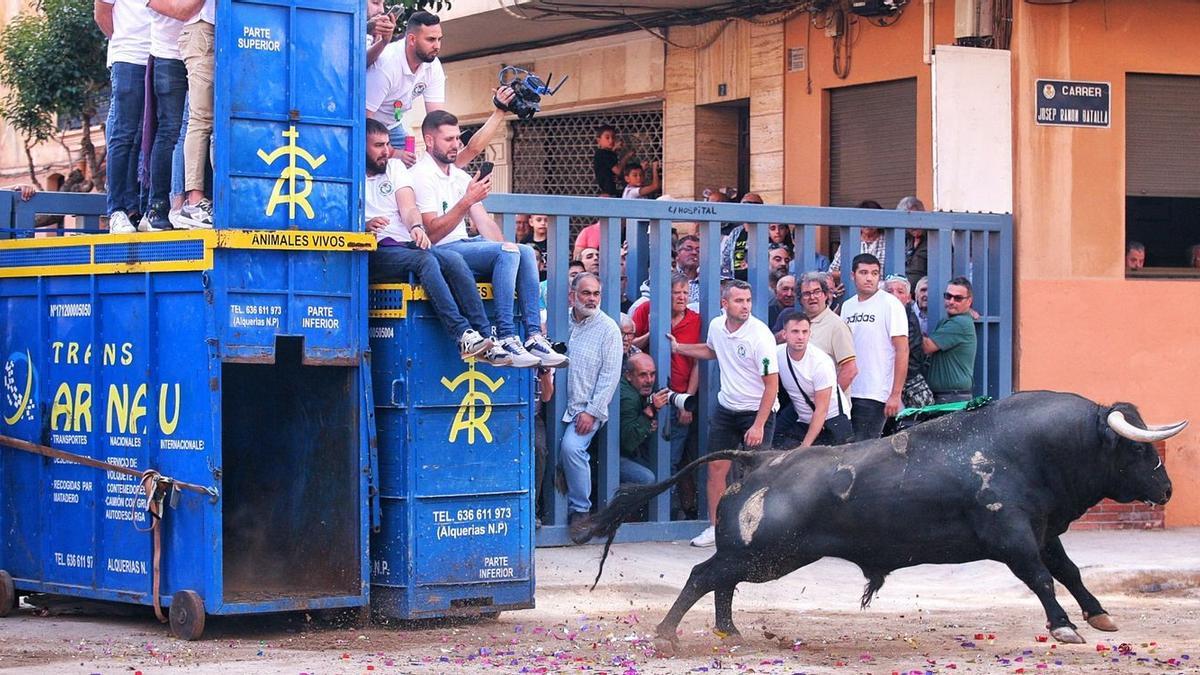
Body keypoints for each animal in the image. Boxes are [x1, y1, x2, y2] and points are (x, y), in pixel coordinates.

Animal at [576, 389, 1185, 648]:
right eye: (1137, 451)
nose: (1166, 488)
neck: (1032, 449)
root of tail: (760, 458)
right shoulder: (1012, 537)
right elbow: (1040, 578)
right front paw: (1062, 627)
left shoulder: (1043, 533)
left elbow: (1070, 572)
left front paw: (1099, 616)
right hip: (768, 554)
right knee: (704, 577)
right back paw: (666, 635)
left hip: (757, 557)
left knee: (720, 583)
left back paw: (729, 632)